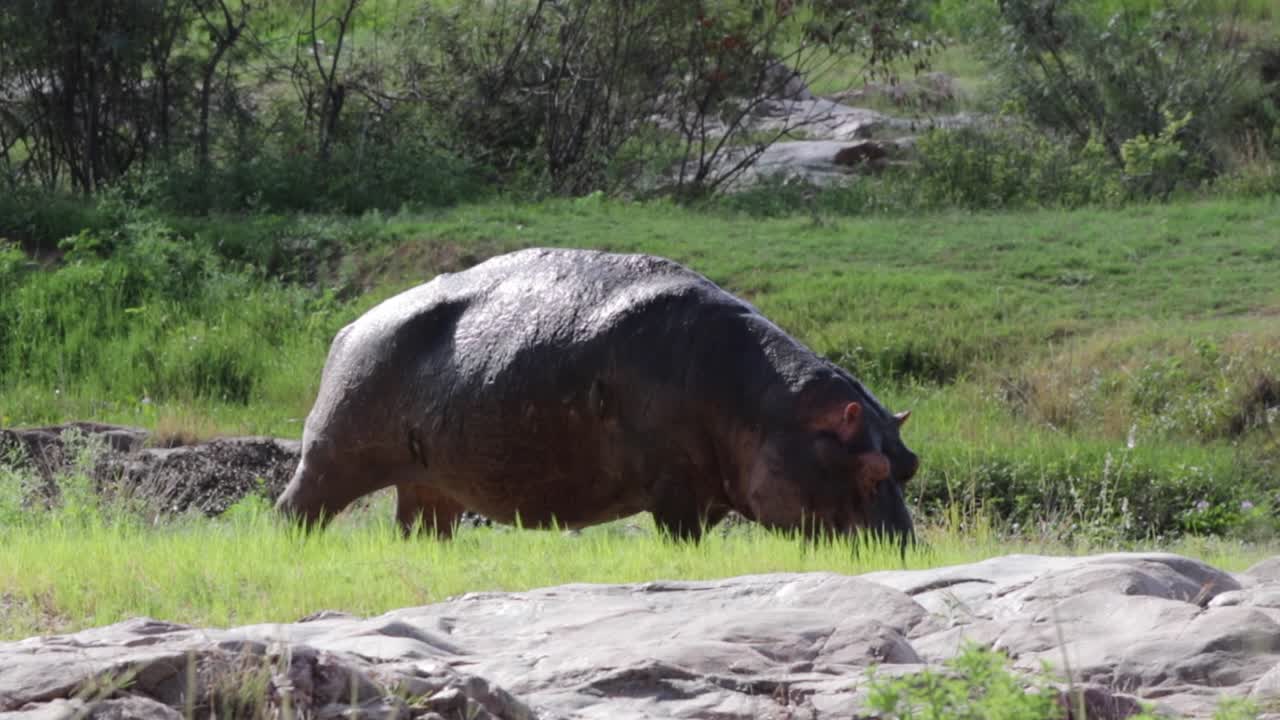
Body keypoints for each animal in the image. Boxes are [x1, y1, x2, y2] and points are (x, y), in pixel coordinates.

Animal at [275, 248, 918, 545]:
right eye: (871, 468)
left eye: (908, 463)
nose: (902, 547)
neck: (772, 407)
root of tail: (350, 328)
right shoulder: (678, 492)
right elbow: (682, 541)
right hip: (332, 455)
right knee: (295, 508)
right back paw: (292, 544)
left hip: (430, 483)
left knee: (422, 527)